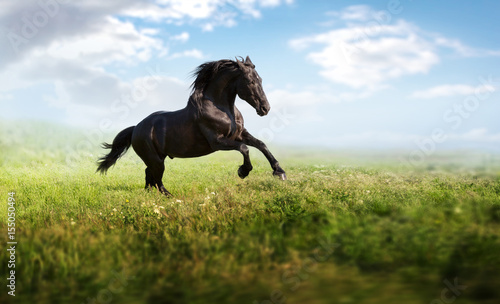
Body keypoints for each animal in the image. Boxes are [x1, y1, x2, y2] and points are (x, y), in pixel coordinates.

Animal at [96, 55, 286, 196]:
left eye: (260, 79)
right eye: (251, 81)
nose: (265, 108)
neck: (223, 109)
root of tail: (136, 128)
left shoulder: (239, 134)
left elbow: (261, 144)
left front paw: (280, 172)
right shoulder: (217, 142)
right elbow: (244, 148)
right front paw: (243, 172)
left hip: (157, 158)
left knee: (149, 175)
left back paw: (150, 194)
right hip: (156, 159)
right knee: (157, 179)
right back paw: (171, 197)